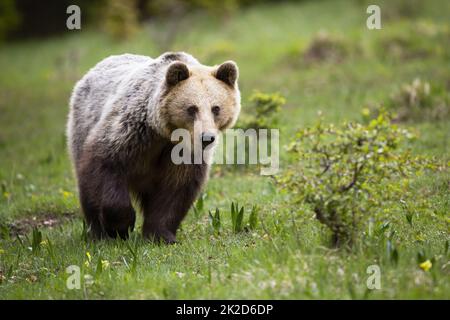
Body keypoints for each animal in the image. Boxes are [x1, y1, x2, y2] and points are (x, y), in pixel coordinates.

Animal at [67, 52, 241, 242]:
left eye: (216, 108)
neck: (164, 134)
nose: (207, 138)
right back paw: (97, 233)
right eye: (192, 108)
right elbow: (105, 166)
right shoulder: (130, 133)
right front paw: (120, 227)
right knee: (87, 188)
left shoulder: (181, 154)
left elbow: (175, 189)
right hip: (82, 125)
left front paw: (161, 235)